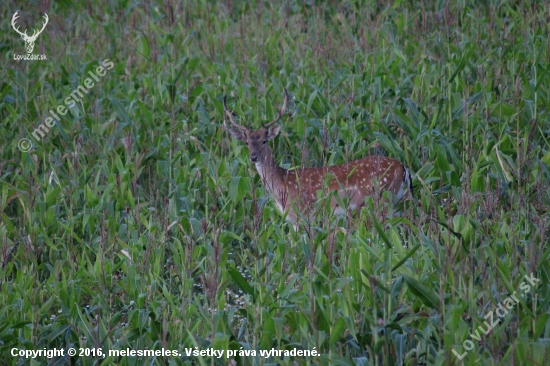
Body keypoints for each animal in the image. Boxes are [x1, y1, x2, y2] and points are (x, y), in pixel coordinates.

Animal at [224, 88, 414, 227]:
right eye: (247, 142)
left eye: (264, 140)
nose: (253, 157)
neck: (281, 185)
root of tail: (403, 168)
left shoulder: (301, 214)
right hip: (395, 200)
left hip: (381, 197)